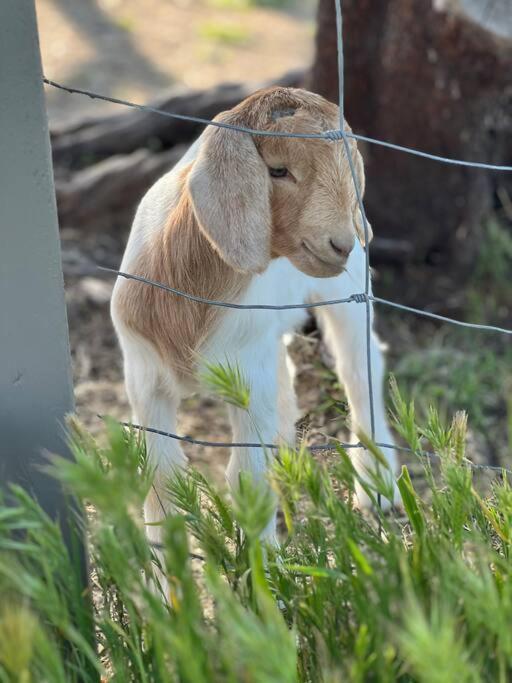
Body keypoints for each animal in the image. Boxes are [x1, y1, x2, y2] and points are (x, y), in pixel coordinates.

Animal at [111, 83, 400, 560]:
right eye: (278, 170)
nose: (340, 243)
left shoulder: (248, 379)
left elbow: (246, 476)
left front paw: (265, 572)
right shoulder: (145, 379)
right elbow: (162, 482)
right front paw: (164, 575)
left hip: (349, 293)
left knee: (359, 367)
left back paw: (379, 486)